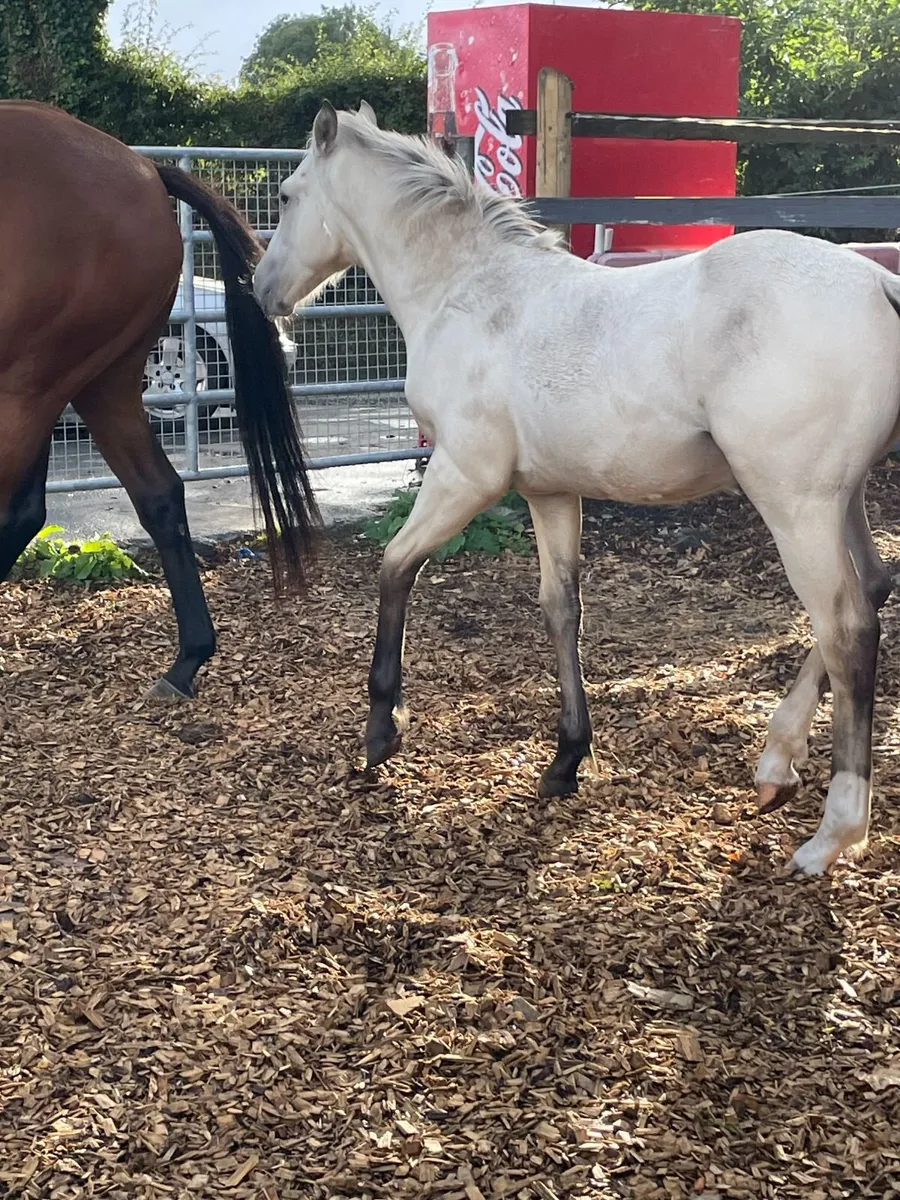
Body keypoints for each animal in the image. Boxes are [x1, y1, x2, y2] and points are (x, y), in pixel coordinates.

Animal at [254, 100, 900, 877]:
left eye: (286, 195)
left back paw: (833, 832)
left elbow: (394, 568)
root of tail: (879, 285)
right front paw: (566, 760)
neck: (470, 292)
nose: (262, 289)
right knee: (871, 589)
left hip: (797, 506)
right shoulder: (550, 494)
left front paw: (383, 730)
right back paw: (777, 762)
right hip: (843, 500)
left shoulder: (465, 476)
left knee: (846, 628)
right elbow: (561, 609)